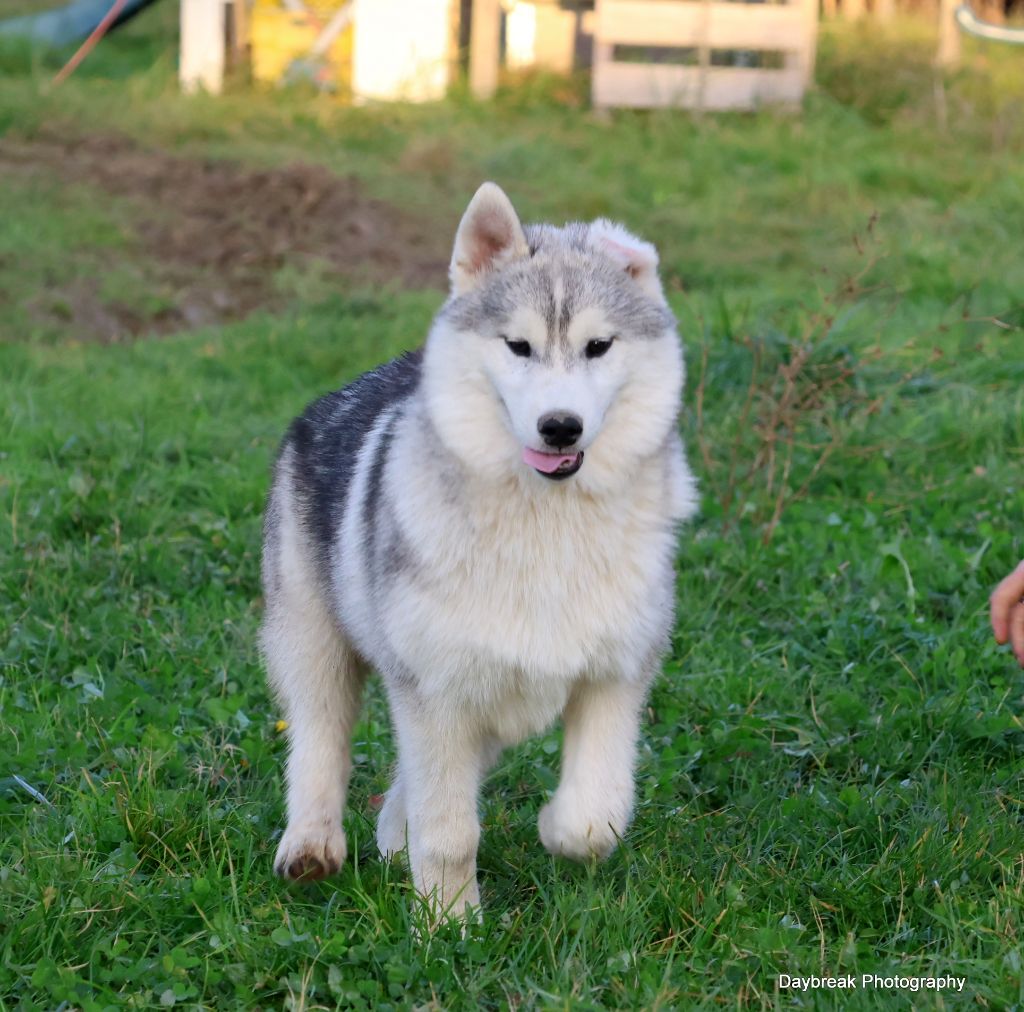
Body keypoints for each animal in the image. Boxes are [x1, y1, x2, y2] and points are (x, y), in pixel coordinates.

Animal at [260, 182, 700, 917]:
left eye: (599, 346)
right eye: (518, 346)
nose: (560, 427)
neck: (546, 528)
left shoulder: (616, 673)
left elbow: (596, 816)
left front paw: (557, 830)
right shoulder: (436, 689)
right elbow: (448, 830)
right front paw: (448, 923)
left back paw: (390, 838)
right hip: (315, 642)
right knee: (321, 740)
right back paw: (312, 845)